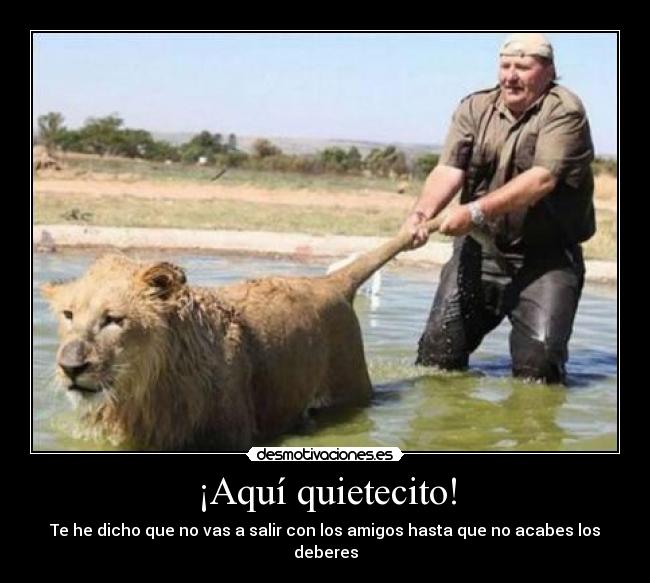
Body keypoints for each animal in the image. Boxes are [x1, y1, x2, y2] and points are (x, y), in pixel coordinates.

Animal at [42, 219, 441, 451]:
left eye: (113, 319)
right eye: (69, 315)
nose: (70, 367)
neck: (142, 393)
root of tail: (330, 283)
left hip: (350, 389)